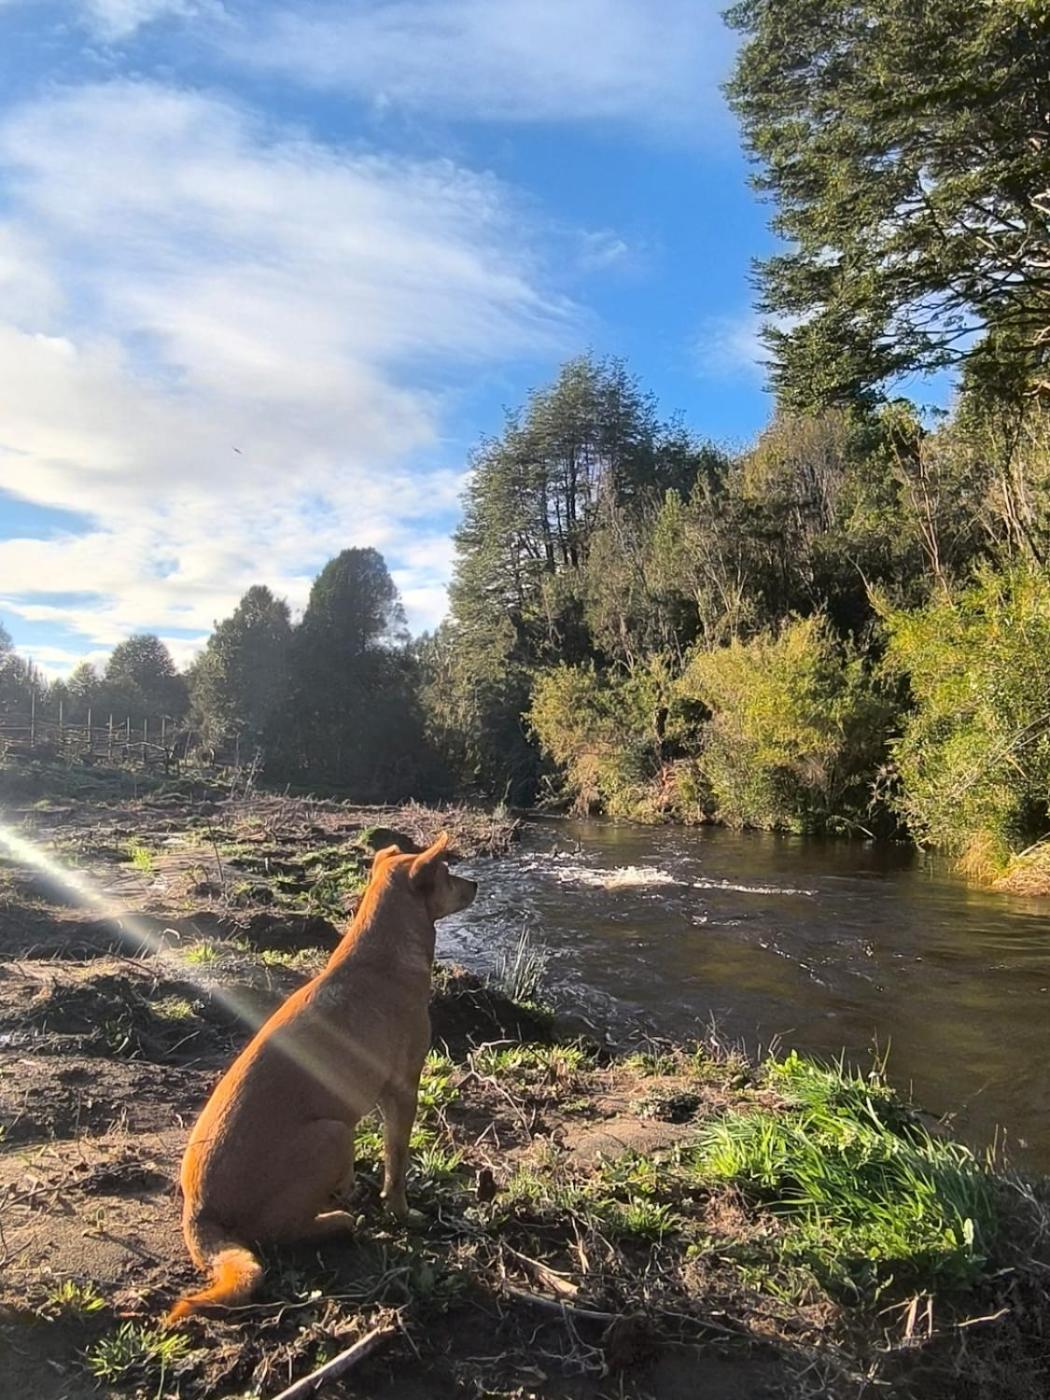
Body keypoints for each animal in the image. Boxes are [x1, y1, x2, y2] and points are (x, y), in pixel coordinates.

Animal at [166, 832, 476, 1324]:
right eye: (448, 875)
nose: (477, 885)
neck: (380, 955)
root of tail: (199, 1214)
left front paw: (351, 1186)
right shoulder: (403, 1090)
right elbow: (397, 1164)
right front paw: (401, 1212)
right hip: (331, 1134)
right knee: (279, 1234)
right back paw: (335, 1223)